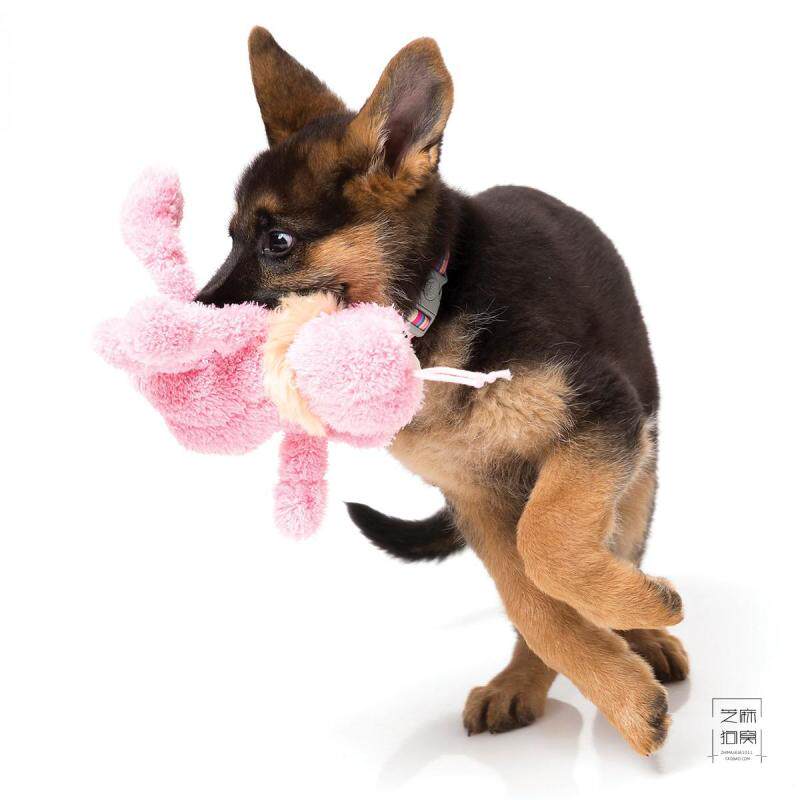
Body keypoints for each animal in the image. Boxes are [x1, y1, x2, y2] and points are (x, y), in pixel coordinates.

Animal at [196, 27, 688, 755]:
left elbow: (548, 546)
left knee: (614, 541)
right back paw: (526, 679)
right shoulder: (476, 496)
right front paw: (619, 692)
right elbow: (532, 600)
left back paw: (642, 627)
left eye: (277, 241)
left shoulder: (601, 417)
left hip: (635, 475)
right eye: (230, 238)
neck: (438, 303)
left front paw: (637, 627)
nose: (184, 323)